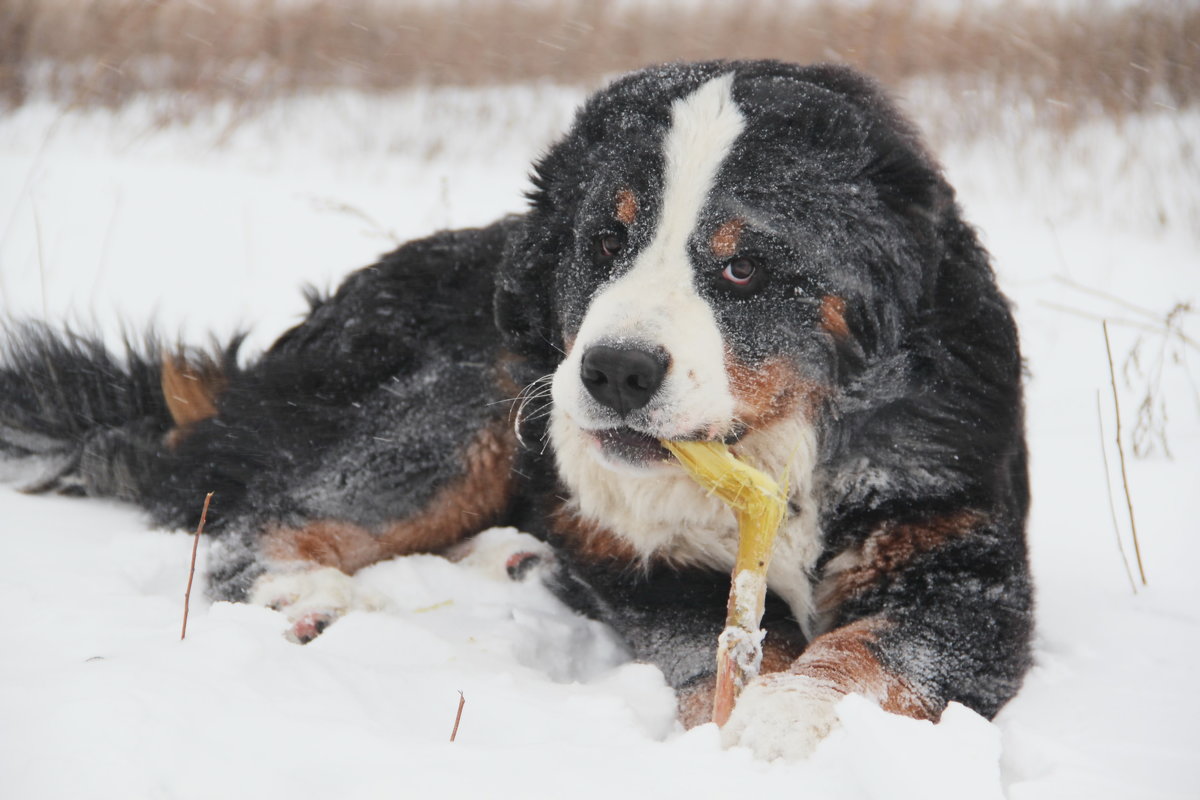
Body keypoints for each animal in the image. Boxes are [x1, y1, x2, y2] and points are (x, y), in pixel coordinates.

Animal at [0, 59, 1032, 762]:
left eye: (743, 266)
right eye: (604, 242)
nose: (615, 372)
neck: (774, 456)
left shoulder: (960, 565)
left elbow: (873, 648)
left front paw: (788, 723)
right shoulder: (660, 573)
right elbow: (735, 649)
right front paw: (755, 719)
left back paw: (514, 559)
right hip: (471, 397)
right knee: (253, 518)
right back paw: (303, 596)